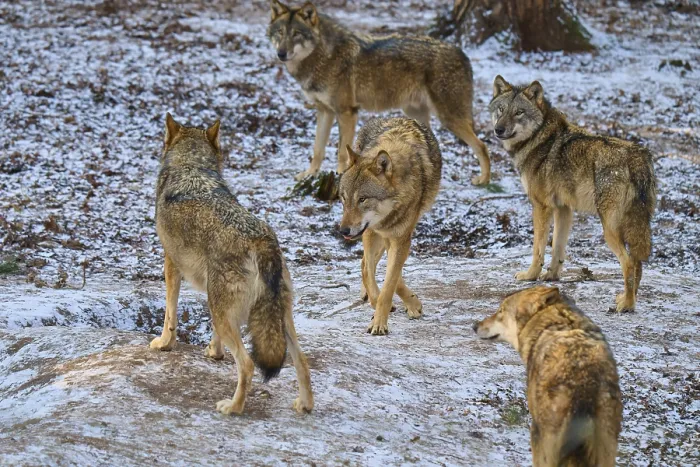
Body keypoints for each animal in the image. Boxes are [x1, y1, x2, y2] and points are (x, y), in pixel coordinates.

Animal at [150, 113, 313, 415]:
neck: (191, 166)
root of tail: (262, 240)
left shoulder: (171, 264)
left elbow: (169, 314)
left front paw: (164, 343)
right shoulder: (214, 300)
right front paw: (214, 352)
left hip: (226, 313)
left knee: (247, 364)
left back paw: (233, 407)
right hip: (277, 318)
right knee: (302, 360)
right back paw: (305, 405)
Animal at [267, 0, 489, 185]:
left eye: (296, 33)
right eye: (280, 33)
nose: (281, 54)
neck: (323, 56)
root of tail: (463, 53)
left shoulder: (347, 112)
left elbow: (341, 151)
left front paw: (340, 176)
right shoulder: (324, 111)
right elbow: (317, 149)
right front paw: (309, 175)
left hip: (448, 118)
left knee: (482, 145)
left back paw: (484, 180)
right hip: (416, 115)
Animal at [338, 117, 442, 335]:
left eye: (362, 199)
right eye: (343, 198)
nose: (343, 230)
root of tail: (391, 116)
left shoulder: (399, 237)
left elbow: (390, 283)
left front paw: (380, 322)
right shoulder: (380, 232)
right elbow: (378, 276)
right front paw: (383, 305)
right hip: (370, 233)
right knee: (365, 264)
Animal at [489, 75, 657, 312]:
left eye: (519, 112)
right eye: (501, 109)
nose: (499, 129)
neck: (540, 138)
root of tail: (637, 157)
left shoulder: (541, 206)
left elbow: (538, 248)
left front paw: (531, 275)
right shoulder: (564, 209)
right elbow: (558, 248)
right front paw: (551, 277)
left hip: (609, 229)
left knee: (629, 263)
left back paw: (627, 305)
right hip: (634, 227)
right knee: (638, 262)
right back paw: (626, 298)